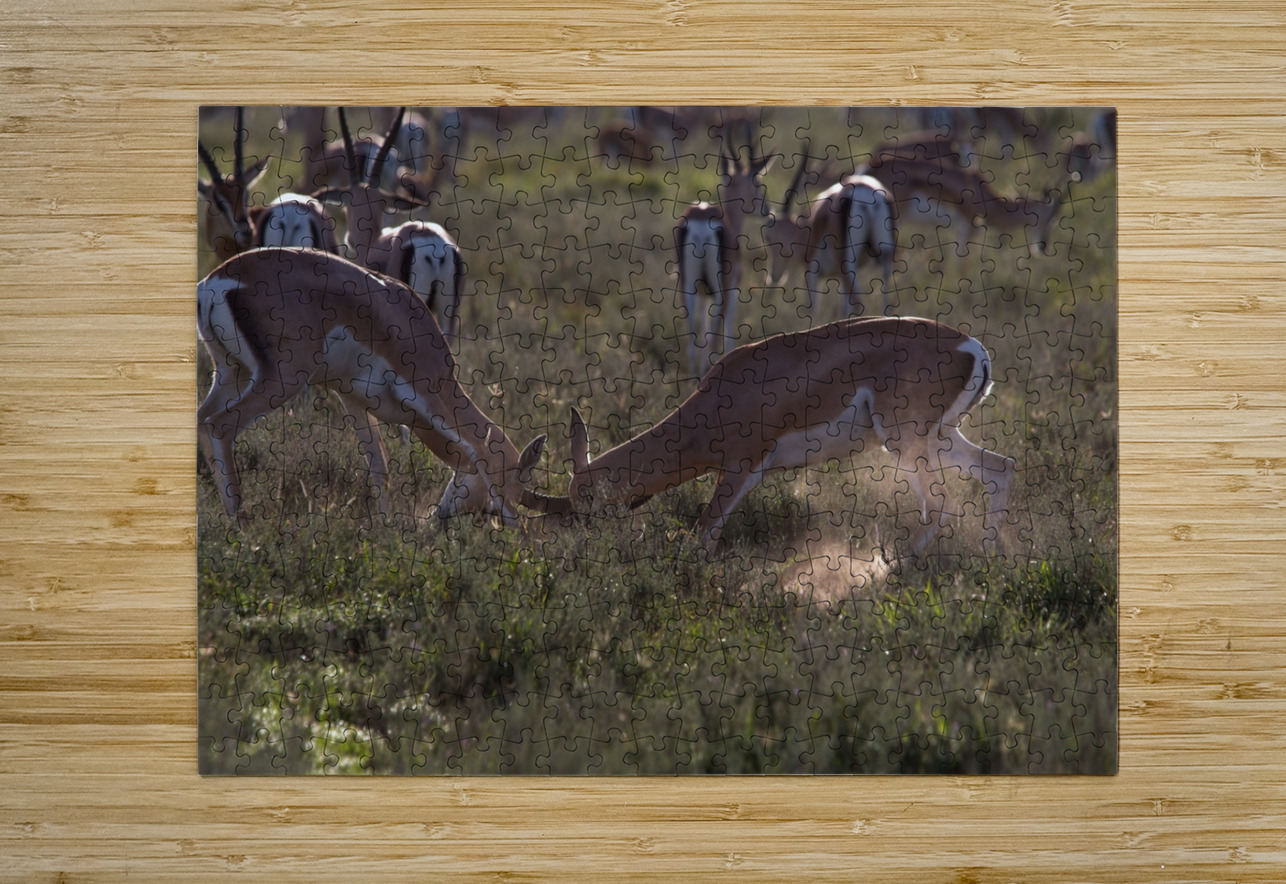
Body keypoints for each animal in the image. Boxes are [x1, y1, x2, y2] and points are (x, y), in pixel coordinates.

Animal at [197, 247, 548, 526]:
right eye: (515, 481)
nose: (440, 519)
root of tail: (217, 282)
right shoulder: (427, 391)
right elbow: (475, 446)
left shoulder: (351, 398)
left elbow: (379, 466)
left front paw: (384, 530)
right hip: (282, 380)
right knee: (220, 426)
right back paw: (242, 525)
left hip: (232, 373)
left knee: (202, 420)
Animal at [560, 317, 1013, 553]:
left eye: (585, 498)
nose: (582, 547)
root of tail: (972, 348)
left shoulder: (742, 467)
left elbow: (705, 529)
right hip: (940, 439)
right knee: (999, 469)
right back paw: (989, 557)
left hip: (907, 443)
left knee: (941, 504)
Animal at [675, 140, 775, 374]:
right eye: (757, 183)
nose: (768, 209)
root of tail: (701, 220)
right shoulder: (733, 288)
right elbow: (728, 331)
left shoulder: (703, 293)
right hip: (721, 289)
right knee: (713, 339)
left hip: (687, 285)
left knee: (692, 342)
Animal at [762, 150, 897, 320]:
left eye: (768, 237)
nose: (773, 276)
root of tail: (865, 193)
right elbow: (844, 310)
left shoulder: (812, 272)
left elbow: (813, 310)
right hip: (885, 257)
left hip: (848, 265)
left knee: (858, 303)